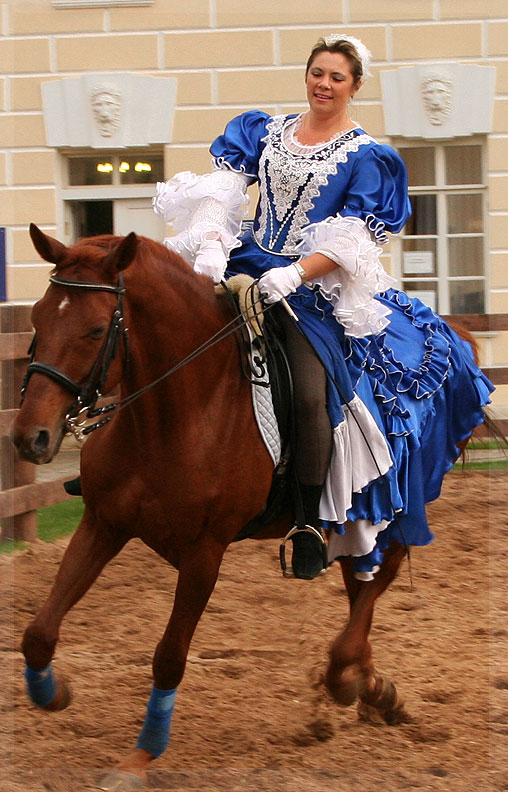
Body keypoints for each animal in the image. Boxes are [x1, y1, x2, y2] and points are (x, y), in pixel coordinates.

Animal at [15, 224, 476, 792]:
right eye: (37, 317)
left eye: (96, 328)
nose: (31, 437)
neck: (178, 410)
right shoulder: (103, 524)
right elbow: (38, 633)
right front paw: (52, 693)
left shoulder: (203, 554)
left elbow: (169, 657)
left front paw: (141, 756)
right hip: (356, 520)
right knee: (360, 586)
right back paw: (371, 687)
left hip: (390, 506)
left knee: (376, 581)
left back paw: (349, 677)